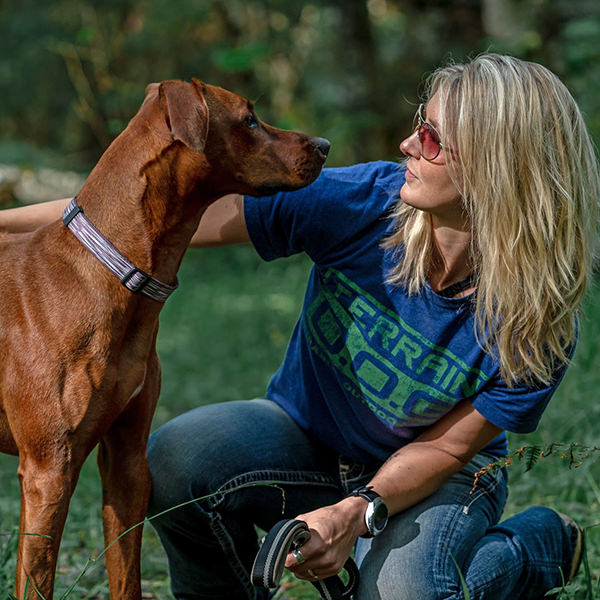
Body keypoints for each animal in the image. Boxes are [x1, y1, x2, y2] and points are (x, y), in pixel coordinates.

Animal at [0, 77, 328, 596]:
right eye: (249, 119)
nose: (324, 145)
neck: (112, 270)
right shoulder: (47, 470)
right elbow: (36, 580)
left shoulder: (130, 462)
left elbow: (126, 575)